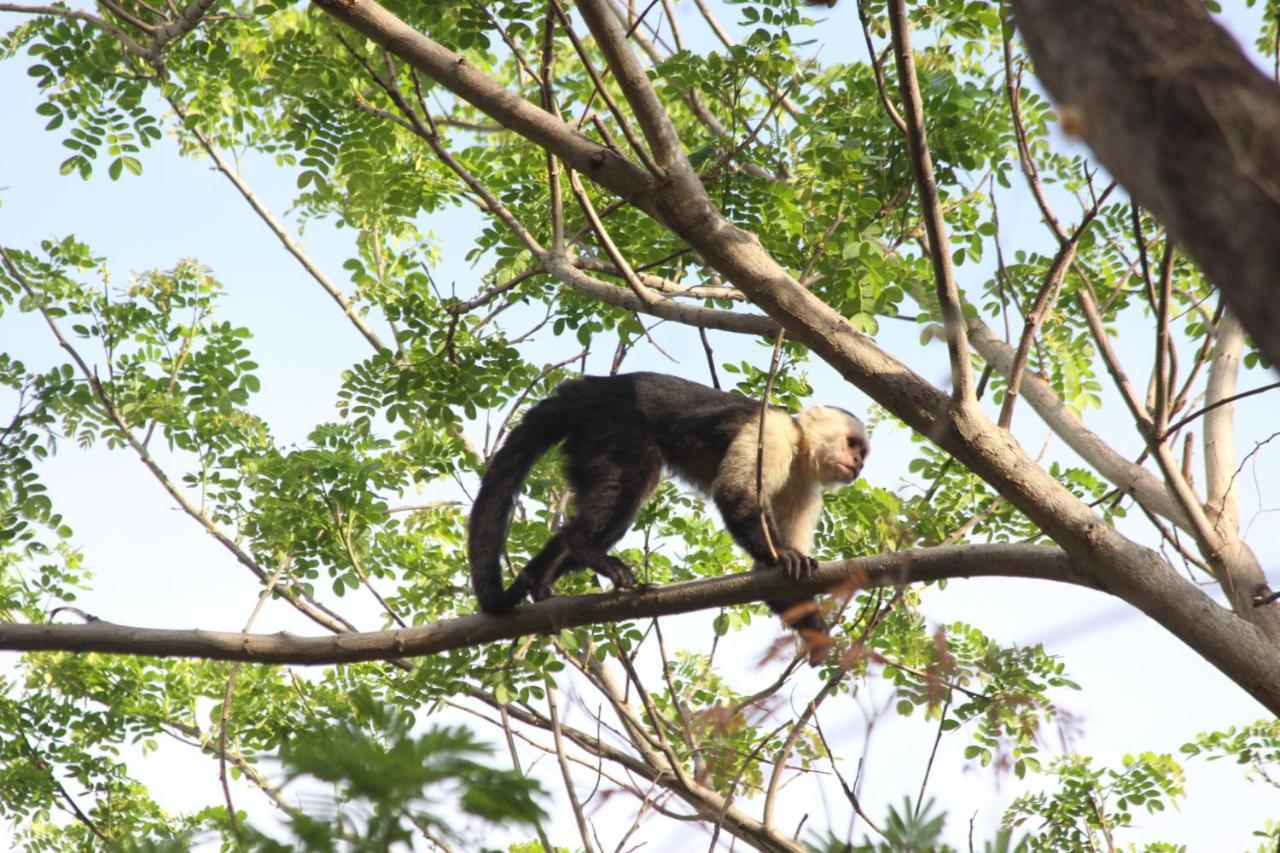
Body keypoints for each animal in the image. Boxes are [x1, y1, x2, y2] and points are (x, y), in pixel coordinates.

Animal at [471, 371, 870, 655]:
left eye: (863, 453)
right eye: (852, 444)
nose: (858, 464)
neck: (799, 449)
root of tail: (589, 386)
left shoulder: (804, 487)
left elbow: (770, 576)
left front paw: (816, 633)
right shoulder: (771, 434)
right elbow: (734, 493)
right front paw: (784, 555)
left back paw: (540, 574)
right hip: (609, 418)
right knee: (636, 474)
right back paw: (583, 546)